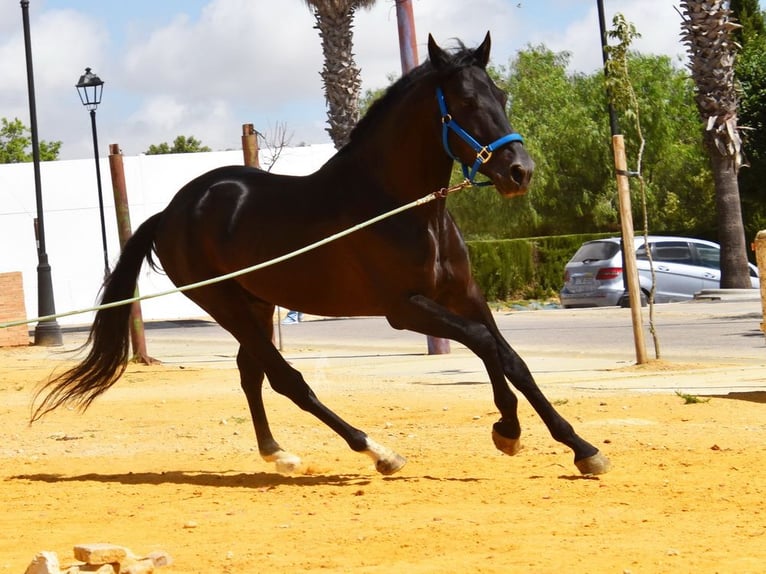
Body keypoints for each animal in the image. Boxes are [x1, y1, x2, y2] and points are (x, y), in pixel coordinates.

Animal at [34, 33, 612, 480]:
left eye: (502, 94)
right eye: (466, 102)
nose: (520, 172)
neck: (400, 207)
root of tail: (173, 211)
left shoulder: (465, 295)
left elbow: (510, 357)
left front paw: (579, 448)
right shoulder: (406, 309)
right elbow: (486, 347)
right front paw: (508, 429)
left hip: (257, 302)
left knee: (250, 373)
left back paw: (279, 454)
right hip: (223, 304)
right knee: (286, 379)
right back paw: (377, 452)